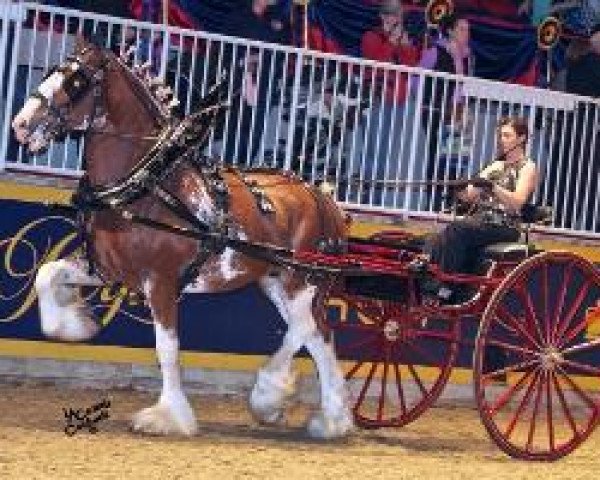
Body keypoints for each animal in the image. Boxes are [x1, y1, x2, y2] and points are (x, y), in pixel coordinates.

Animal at [11, 34, 354, 438]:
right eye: (51, 70)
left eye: (76, 81)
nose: (19, 124)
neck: (145, 185)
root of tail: (320, 196)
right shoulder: (107, 268)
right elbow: (46, 274)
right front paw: (73, 324)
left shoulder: (160, 280)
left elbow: (166, 349)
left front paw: (168, 416)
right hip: (274, 281)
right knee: (319, 336)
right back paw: (332, 419)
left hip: (298, 279)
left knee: (305, 328)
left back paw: (270, 396)